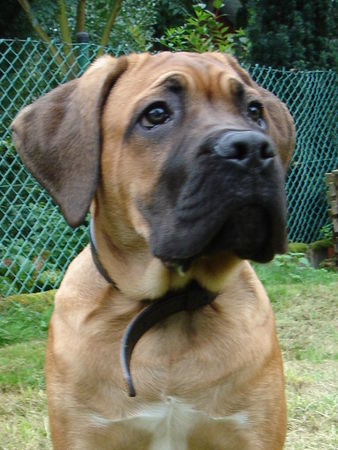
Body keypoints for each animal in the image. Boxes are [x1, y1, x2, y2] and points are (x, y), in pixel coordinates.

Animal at [11, 51, 294, 448]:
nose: (251, 148)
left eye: (255, 110)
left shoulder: (252, 432)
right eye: (156, 114)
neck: (169, 309)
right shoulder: (85, 433)